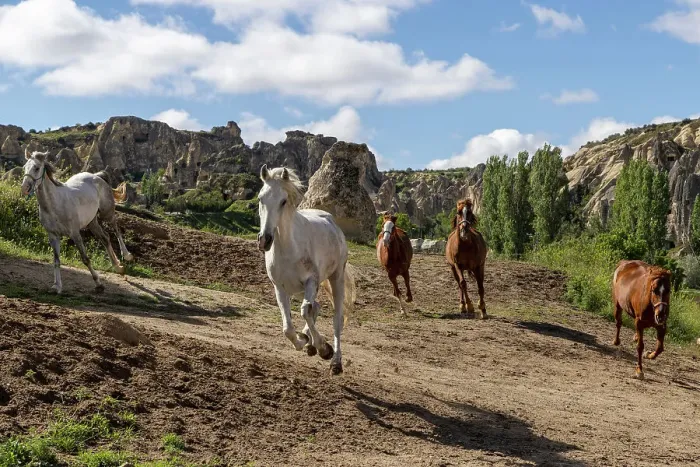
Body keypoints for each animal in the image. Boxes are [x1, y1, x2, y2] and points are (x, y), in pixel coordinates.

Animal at [20, 150, 133, 294]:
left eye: (36, 168)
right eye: (24, 167)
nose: (24, 188)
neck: (54, 205)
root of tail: (96, 176)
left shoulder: (75, 234)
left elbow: (85, 259)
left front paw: (99, 284)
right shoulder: (53, 236)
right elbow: (56, 260)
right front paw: (57, 287)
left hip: (107, 213)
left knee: (116, 229)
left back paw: (127, 256)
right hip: (92, 222)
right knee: (105, 237)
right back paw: (118, 267)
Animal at [257, 164, 356, 375]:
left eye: (283, 201)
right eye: (260, 198)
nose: (264, 240)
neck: (289, 248)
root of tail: (331, 221)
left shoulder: (311, 281)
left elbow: (304, 311)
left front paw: (324, 349)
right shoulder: (280, 288)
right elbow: (288, 328)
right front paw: (304, 341)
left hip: (336, 278)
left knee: (336, 318)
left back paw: (335, 362)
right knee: (315, 307)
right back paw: (310, 343)